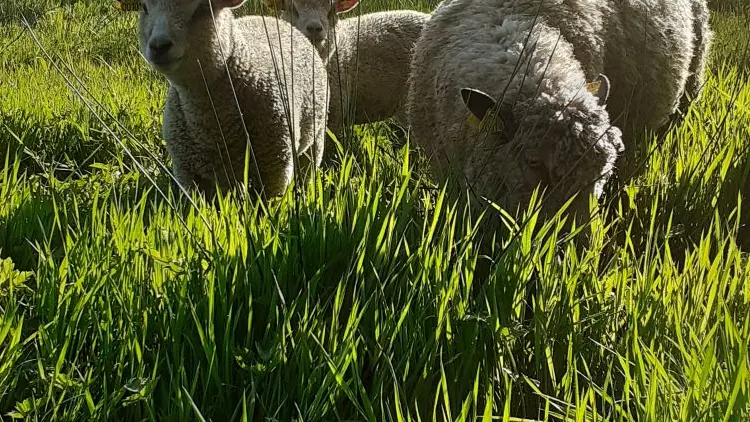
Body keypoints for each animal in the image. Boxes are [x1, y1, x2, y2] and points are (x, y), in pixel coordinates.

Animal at [137, 0, 328, 199]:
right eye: (144, 7)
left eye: (204, 7)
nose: (159, 45)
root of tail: (271, 19)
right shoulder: (187, 172)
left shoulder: (275, 169)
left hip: (316, 136)